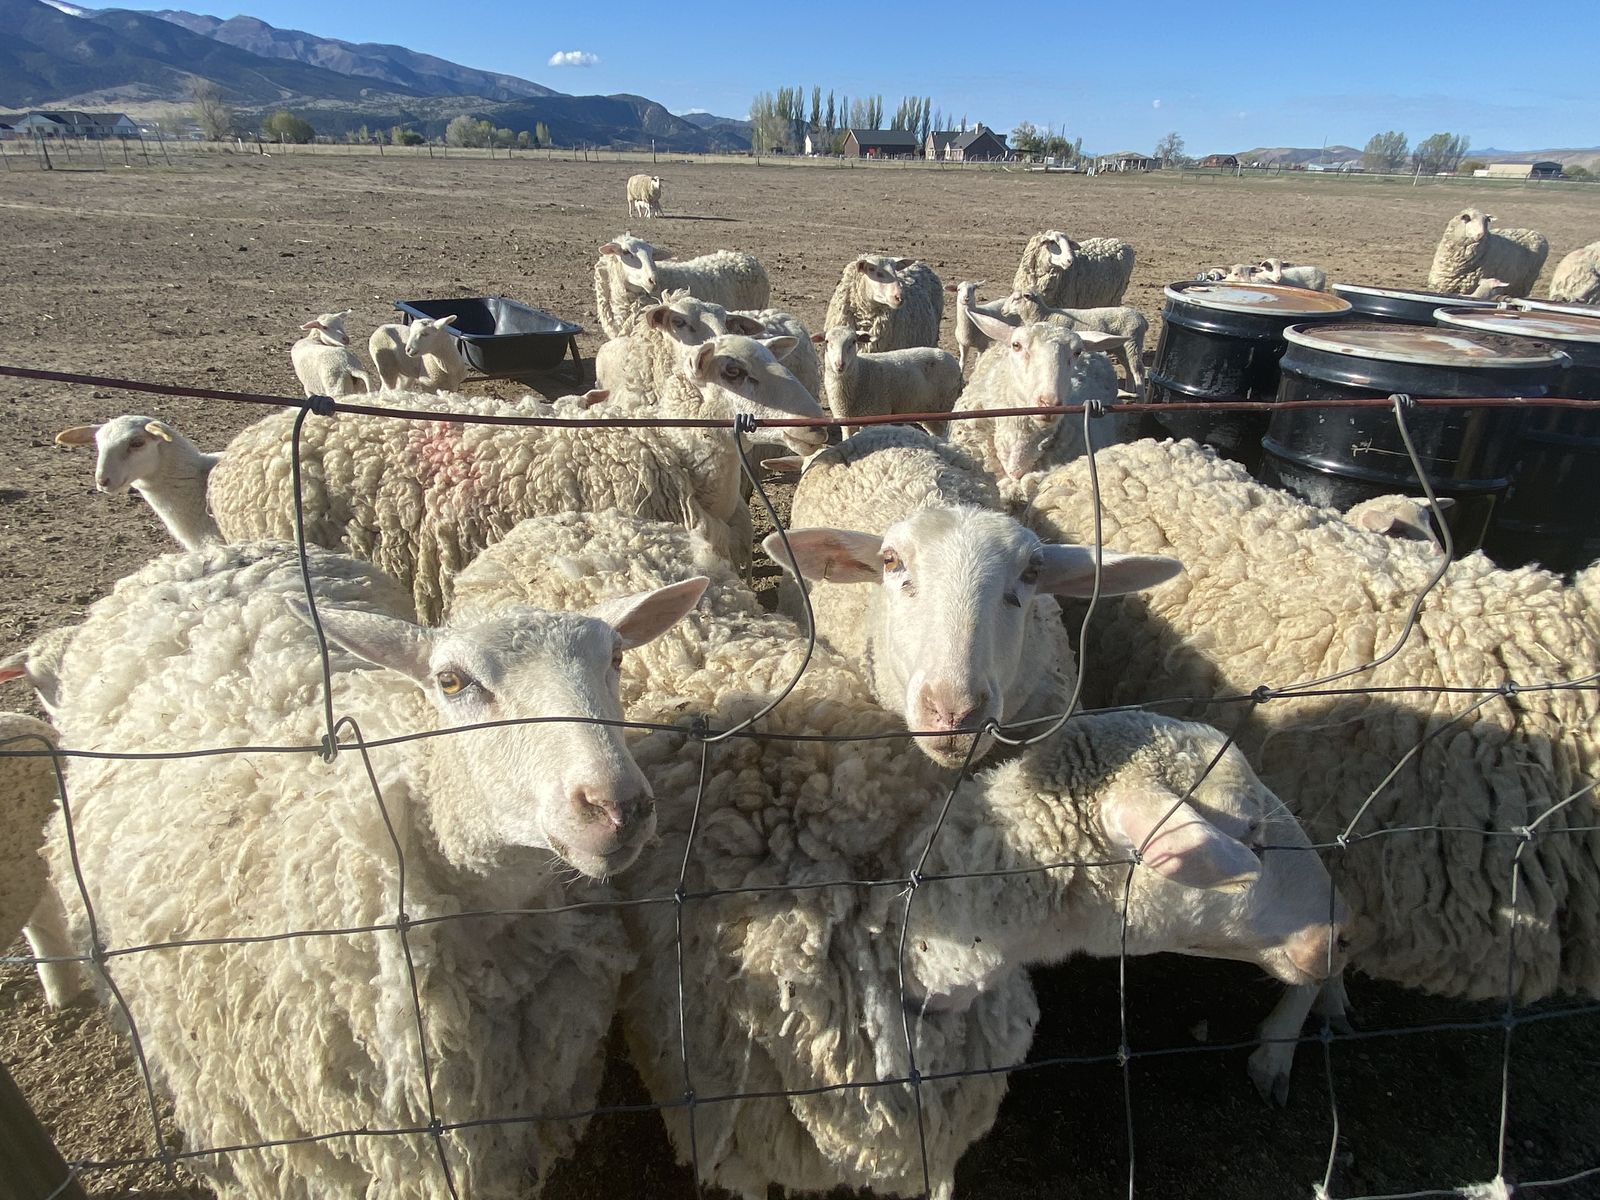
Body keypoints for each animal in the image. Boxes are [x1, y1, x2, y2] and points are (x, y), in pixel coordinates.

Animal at [814, 326, 963, 437]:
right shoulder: (845, 420)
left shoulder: (876, 416)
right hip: (928, 411)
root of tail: (952, 360)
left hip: (944, 407)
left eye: (853, 341)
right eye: (827, 341)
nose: (839, 365)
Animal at [1001, 290, 1150, 398]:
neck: (1046, 315)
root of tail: (1142, 318)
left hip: (1133, 342)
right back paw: (1130, 391)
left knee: (1138, 370)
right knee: (1129, 368)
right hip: (1120, 346)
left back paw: (1141, 398)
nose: (1002, 311)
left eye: (1016, 298)